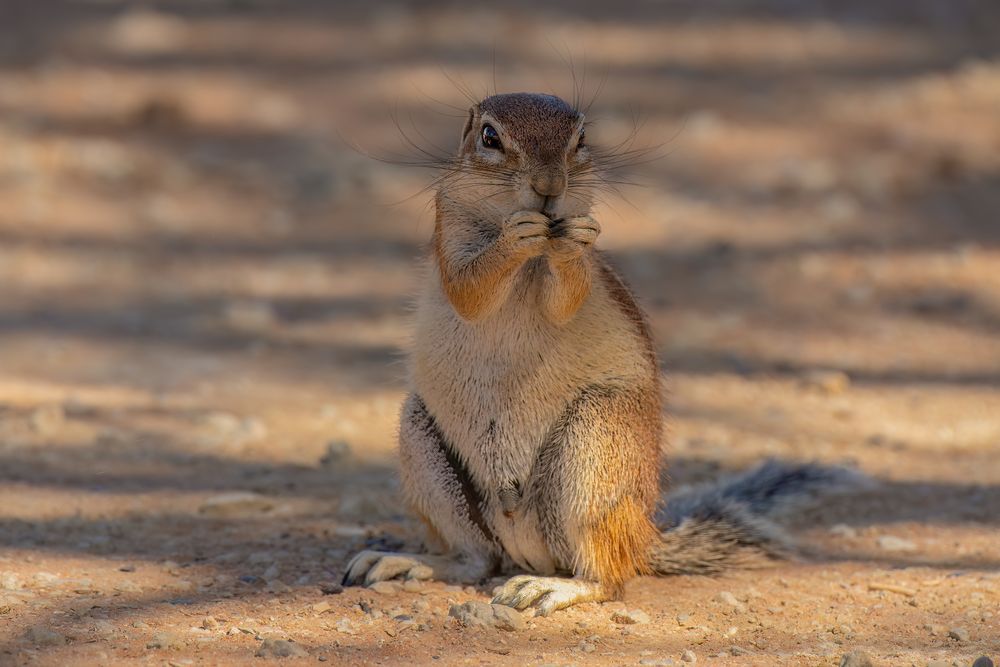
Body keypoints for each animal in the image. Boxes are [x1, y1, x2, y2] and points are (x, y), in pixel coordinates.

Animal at [340, 91, 856, 612]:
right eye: (489, 137)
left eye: (581, 137)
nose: (549, 188)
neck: (537, 253)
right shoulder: (449, 227)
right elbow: (470, 290)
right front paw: (512, 238)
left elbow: (568, 295)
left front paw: (570, 245)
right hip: (424, 447)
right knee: (476, 561)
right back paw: (406, 562)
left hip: (596, 447)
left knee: (607, 580)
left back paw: (552, 586)